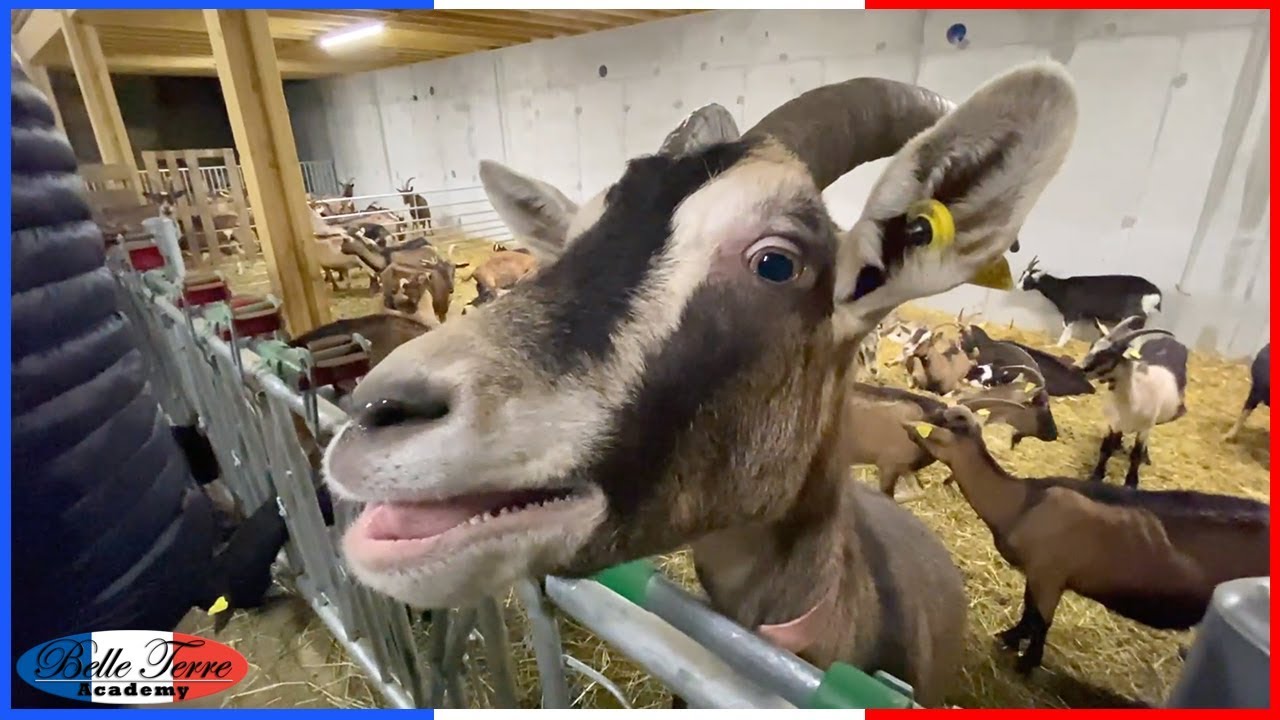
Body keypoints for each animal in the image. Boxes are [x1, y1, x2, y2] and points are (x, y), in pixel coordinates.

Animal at [903, 404, 1269, 674]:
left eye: (943, 421)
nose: (907, 423)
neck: (1023, 502)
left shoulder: (1051, 575)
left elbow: (1041, 620)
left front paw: (1027, 663)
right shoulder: (1038, 574)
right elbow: (1028, 611)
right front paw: (1009, 638)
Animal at [1016, 256, 1163, 347]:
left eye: (1028, 279)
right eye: (1022, 274)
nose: (1017, 287)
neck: (1063, 287)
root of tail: (1156, 293)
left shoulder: (1072, 313)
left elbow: (1066, 331)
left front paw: (1056, 346)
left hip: (1134, 314)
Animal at [1076, 316, 1188, 488]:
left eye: (1110, 355)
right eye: (1092, 346)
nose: (1078, 368)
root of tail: (1170, 341)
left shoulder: (1144, 429)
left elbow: (1136, 454)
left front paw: (1131, 483)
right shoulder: (1112, 423)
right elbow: (1105, 448)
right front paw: (1097, 475)